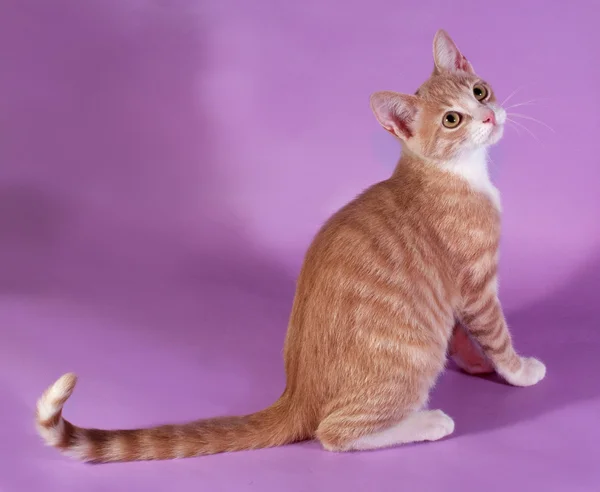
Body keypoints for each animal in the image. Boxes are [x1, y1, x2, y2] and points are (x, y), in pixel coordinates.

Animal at [35, 29, 548, 462]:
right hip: (409, 363)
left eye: (479, 92)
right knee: (334, 434)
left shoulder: (455, 295)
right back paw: (426, 422)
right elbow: (496, 335)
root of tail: (296, 394)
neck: (455, 173)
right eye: (452, 120)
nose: (488, 115)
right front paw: (518, 371)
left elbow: (463, 336)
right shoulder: (476, 283)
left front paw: (475, 366)